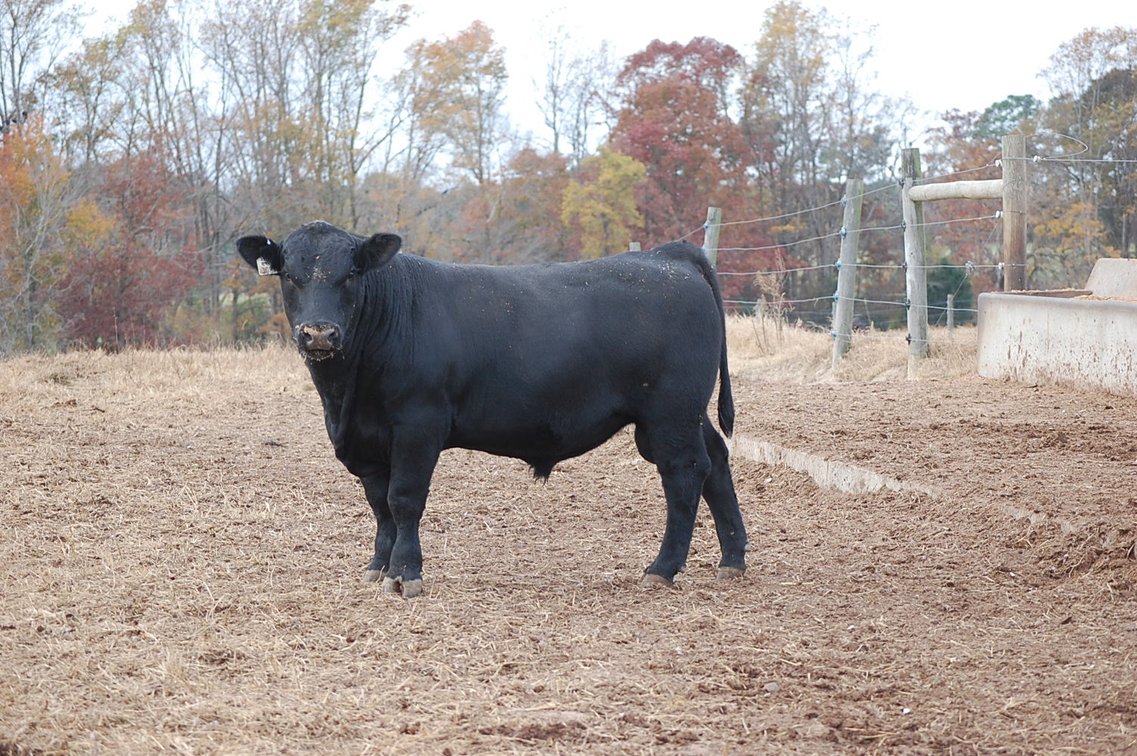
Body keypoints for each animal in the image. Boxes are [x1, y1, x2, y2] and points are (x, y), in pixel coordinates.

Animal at [237, 221, 747, 597]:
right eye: (290, 276)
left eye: (350, 275)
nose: (319, 333)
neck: (344, 396)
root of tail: (667, 256)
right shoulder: (367, 438)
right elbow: (379, 505)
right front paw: (379, 566)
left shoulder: (418, 425)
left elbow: (404, 500)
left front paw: (405, 575)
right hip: (686, 413)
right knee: (716, 461)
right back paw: (732, 559)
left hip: (669, 414)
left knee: (685, 473)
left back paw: (662, 568)